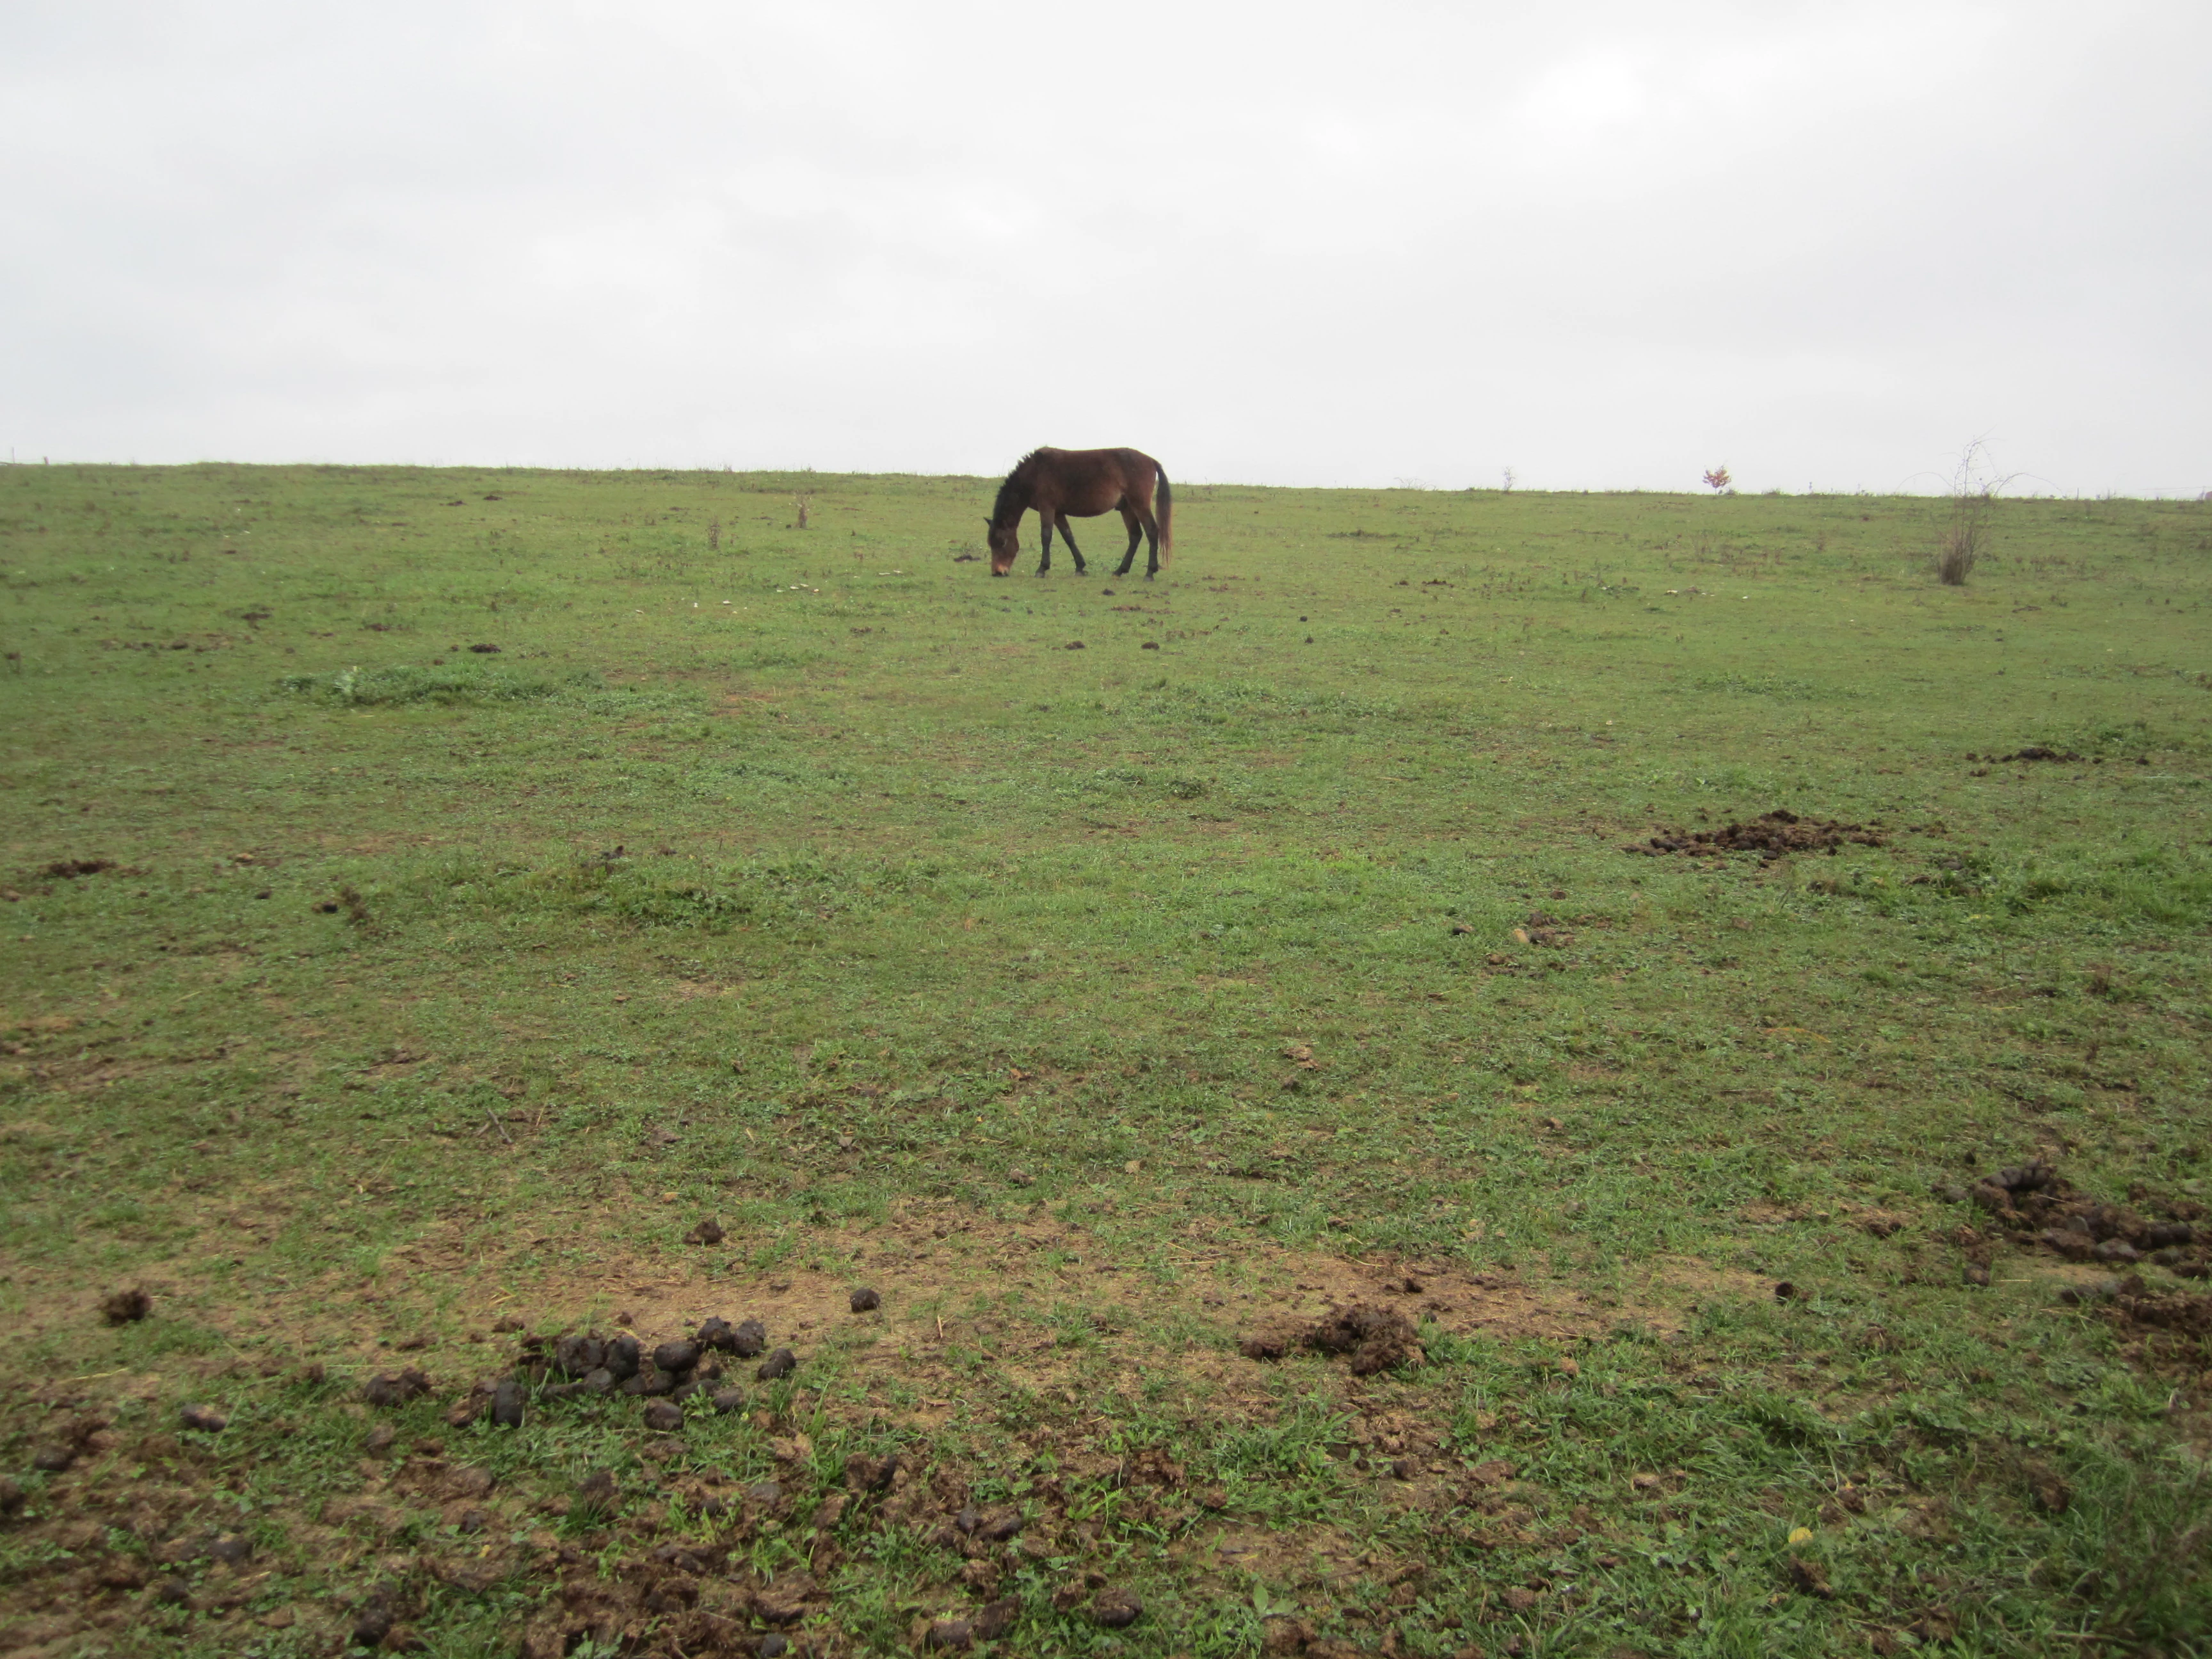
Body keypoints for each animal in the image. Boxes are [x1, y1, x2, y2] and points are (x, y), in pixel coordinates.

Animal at [986, 447, 1173, 579]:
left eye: (1002, 542)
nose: (998, 572)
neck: (1035, 472)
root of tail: (1150, 460)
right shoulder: (1058, 513)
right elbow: (1068, 537)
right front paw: (1080, 567)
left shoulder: (1047, 508)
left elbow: (1046, 536)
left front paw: (1042, 569)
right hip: (1127, 508)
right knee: (1135, 535)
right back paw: (1120, 570)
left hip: (1139, 505)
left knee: (1152, 531)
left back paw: (1150, 572)